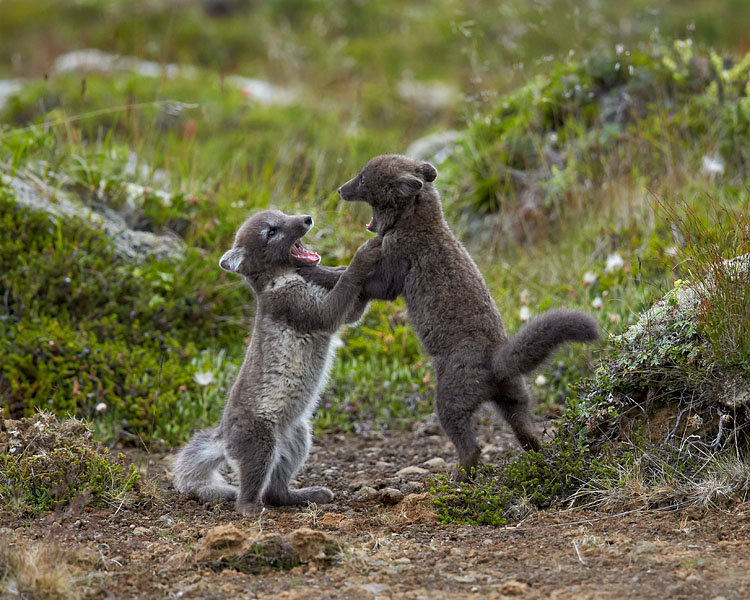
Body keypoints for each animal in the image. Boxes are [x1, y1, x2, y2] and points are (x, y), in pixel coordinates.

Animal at [173, 209, 380, 515]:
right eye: (271, 232)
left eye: (283, 214)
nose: (307, 218)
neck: (281, 280)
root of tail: (222, 436)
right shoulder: (307, 310)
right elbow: (341, 295)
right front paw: (362, 256)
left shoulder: (341, 310)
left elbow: (352, 304)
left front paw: (340, 268)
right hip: (262, 445)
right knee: (249, 493)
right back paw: (251, 508)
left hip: (299, 438)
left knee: (275, 492)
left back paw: (306, 495)